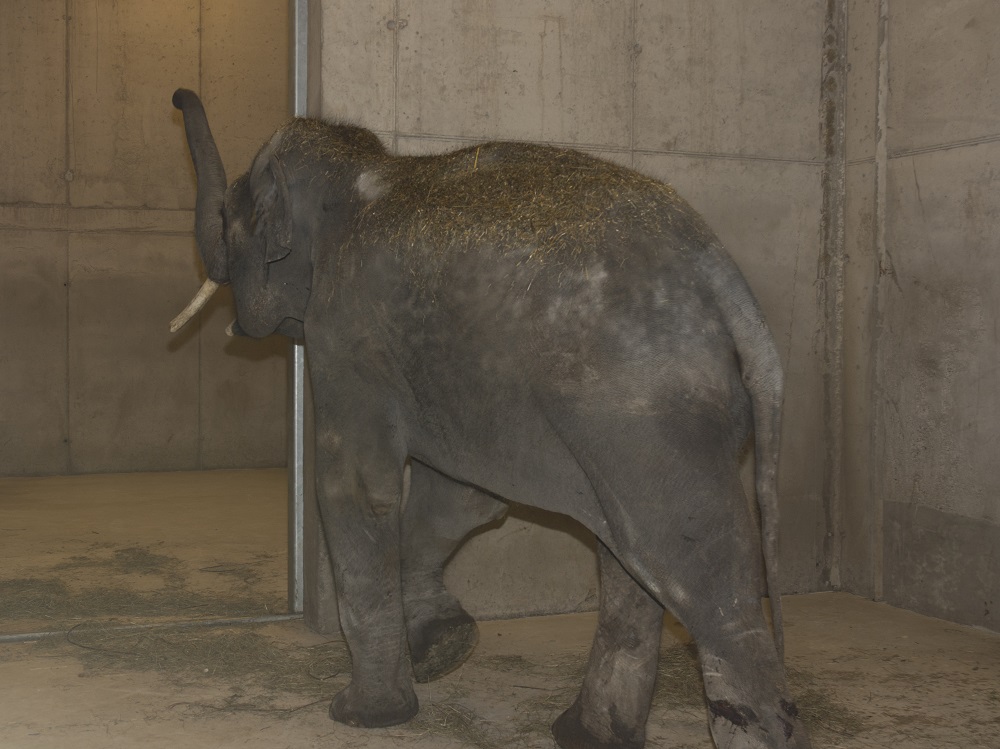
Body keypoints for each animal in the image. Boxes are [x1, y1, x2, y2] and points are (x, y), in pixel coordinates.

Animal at [170, 89, 812, 748]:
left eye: (227, 216)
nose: (179, 95)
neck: (360, 172)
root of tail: (726, 283)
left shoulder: (347, 335)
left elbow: (357, 490)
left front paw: (364, 714)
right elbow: (464, 498)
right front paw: (444, 649)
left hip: (648, 413)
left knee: (696, 573)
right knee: (628, 565)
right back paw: (585, 735)